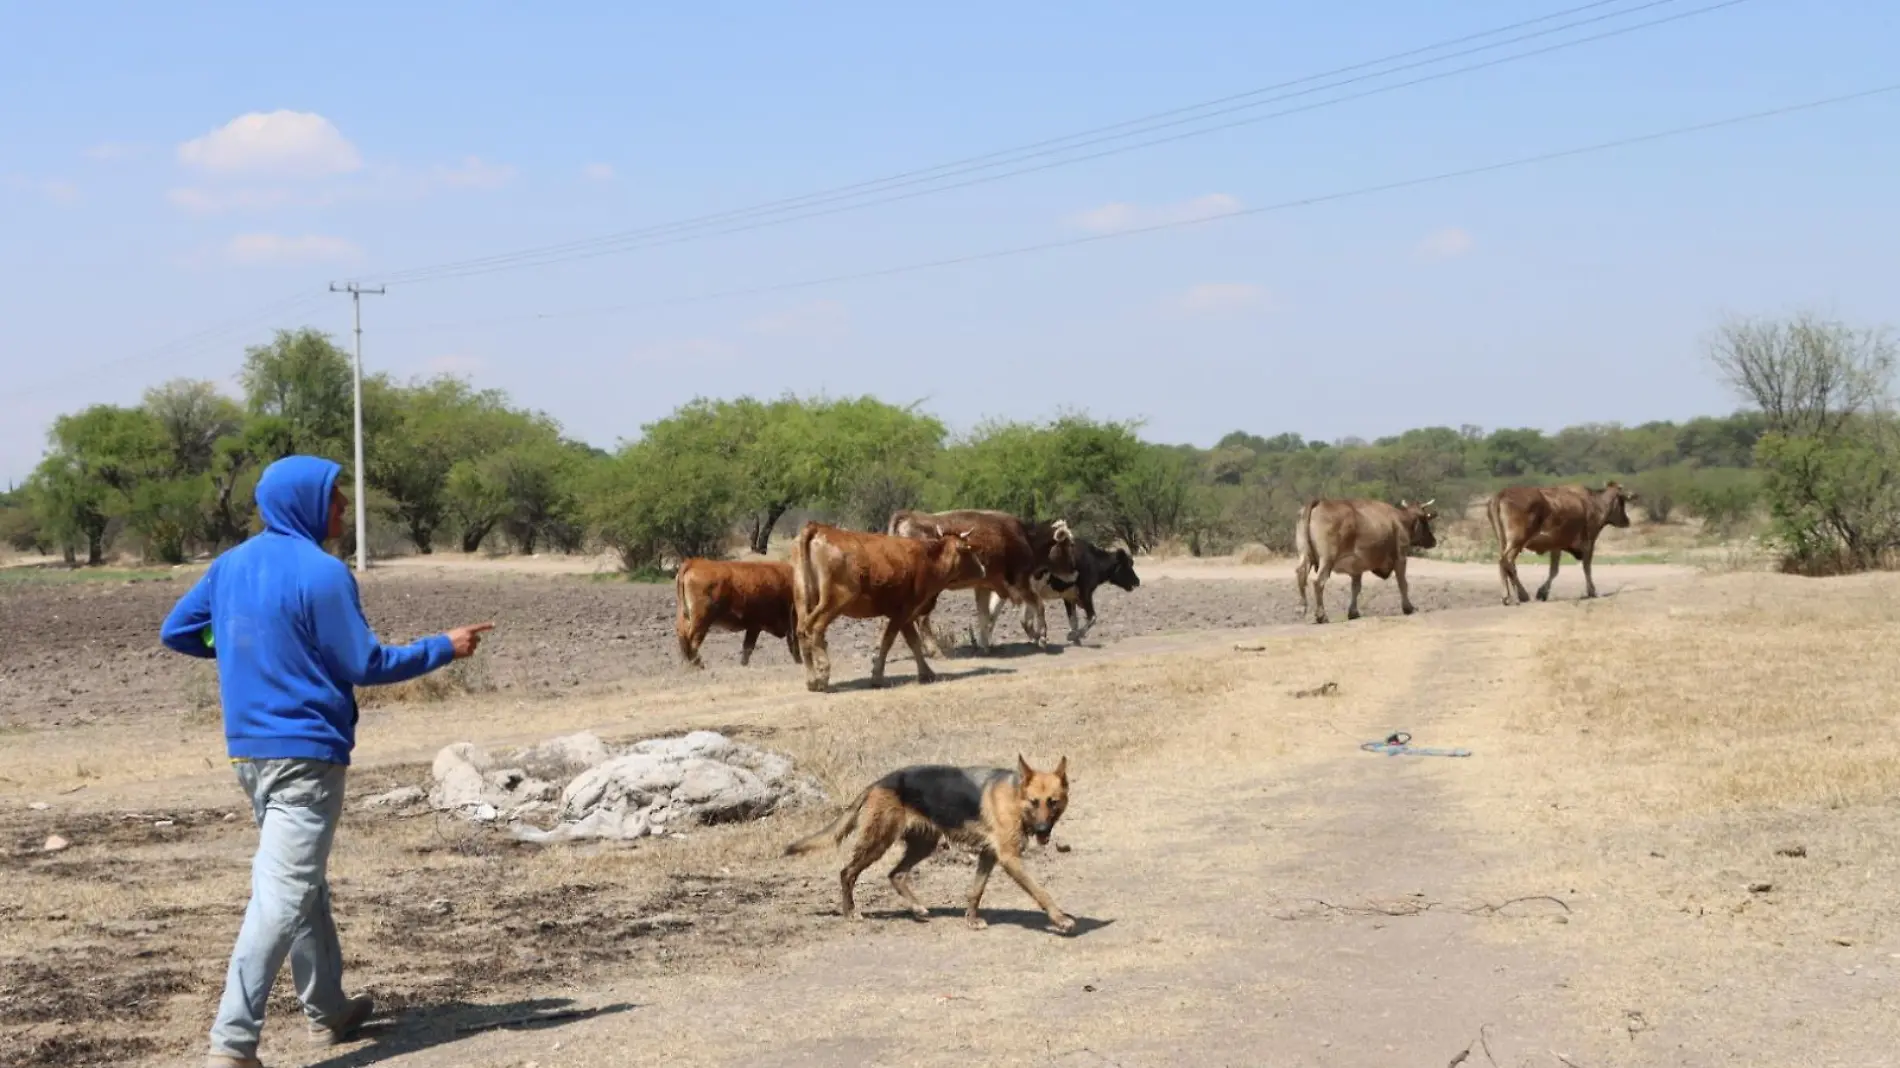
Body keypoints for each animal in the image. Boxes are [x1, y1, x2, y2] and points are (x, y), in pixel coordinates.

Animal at [786, 752, 1079, 927]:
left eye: (1053, 802)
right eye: (1034, 802)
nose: (1042, 828)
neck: (1015, 797)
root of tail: (877, 783)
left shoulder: (989, 855)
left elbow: (975, 891)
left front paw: (971, 920)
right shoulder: (1009, 858)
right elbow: (1039, 891)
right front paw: (1059, 918)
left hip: (923, 845)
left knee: (895, 874)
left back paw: (917, 908)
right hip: (879, 841)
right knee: (847, 872)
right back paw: (851, 913)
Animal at [790, 516, 988, 691]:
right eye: (970, 550)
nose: (983, 569)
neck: (928, 560)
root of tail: (819, 528)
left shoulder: (906, 615)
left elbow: (913, 642)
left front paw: (926, 673)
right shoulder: (903, 611)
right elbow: (888, 640)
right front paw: (877, 676)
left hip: (802, 596)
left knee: (802, 631)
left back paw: (811, 680)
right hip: (835, 600)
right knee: (815, 628)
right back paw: (822, 674)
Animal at [881, 509, 1079, 657]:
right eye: (1068, 544)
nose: (1074, 570)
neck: (1025, 538)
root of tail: (908, 516)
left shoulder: (986, 586)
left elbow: (986, 615)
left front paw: (985, 645)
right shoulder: (1020, 583)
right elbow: (1037, 607)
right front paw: (1041, 637)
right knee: (921, 619)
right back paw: (935, 651)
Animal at [1292, 497, 1436, 623]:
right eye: (1425, 520)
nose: (1433, 541)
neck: (1400, 520)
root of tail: (1320, 502)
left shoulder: (1356, 567)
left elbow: (1355, 588)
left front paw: (1353, 612)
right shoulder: (1400, 558)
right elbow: (1403, 584)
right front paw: (1408, 608)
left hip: (1305, 555)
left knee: (1301, 575)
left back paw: (1301, 607)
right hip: (1327, 560)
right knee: (1318, 583)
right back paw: (1322, 616)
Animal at [1482, 480, 1634, 604]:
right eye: (1622, 501)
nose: (1627, 521)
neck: (1594, 503)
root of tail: (1501, 493)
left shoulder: (1556, 545)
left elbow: (1554, 570)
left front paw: (1542, 593)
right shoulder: (1589, 543)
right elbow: (1586, 568)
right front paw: (1593, 591)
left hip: (1504, 541)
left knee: (1506, 564)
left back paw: (1513, 595)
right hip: (1517, 540)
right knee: (1506, 561)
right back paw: (1518, 595)